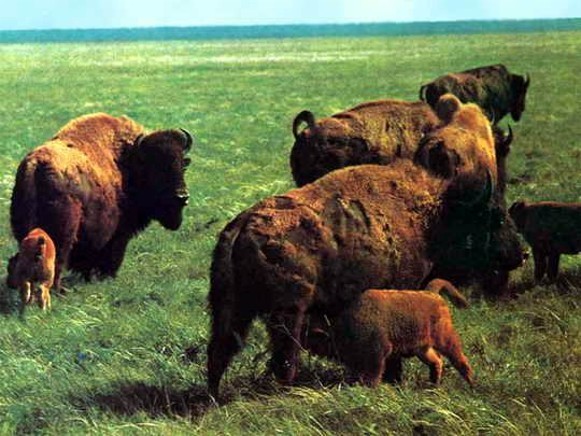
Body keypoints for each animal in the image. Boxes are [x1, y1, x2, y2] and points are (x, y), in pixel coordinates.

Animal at [10, 114, 193, 288]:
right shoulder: (119, 234)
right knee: (58, 261)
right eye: (156, 168)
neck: (128, 161)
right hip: (62, 236)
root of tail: (36, 164)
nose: (182, 197)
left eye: (182, 165)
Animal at [304, 278, 472, 386]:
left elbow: (374, 375)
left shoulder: (379, 353)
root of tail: (432, 293)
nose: (309, 347)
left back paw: (471, 384)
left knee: (460, 359)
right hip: (422, 349)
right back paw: (433, 386)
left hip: (445, 339)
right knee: (436, 361)